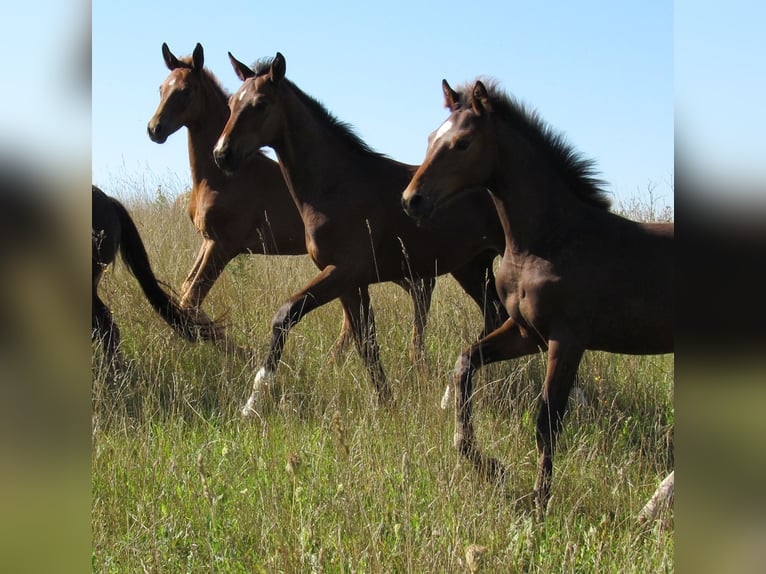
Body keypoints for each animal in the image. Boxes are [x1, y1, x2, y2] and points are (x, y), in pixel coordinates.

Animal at [144, 44, 432, 360]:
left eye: (185, 91)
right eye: (161, 88)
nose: (155, 129)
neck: (219, 178)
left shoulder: (224, 244)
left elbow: (191, 298)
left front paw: (243, 350)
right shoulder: (208, 240)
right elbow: (186, 292)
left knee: (417, 291)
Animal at [213, 53, 510, 418]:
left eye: (260, 104)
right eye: (231, 103)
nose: (222, 154)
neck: (337, 184)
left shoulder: (345, 271)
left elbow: (286, 315)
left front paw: (252, 403)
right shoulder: (350, 282)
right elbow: (365, 342)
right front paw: (386, 404)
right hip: (471, 266)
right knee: (495, 314)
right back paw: (450, 396)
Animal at [404, 80, 676, 508]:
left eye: (462, 143)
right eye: (432, 137)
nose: (411, 200)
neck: (550, 240)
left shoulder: (567, 340)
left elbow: (547, 419)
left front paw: (538, 499)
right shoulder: (525, 332)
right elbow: (465, 364)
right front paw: (483, 461)